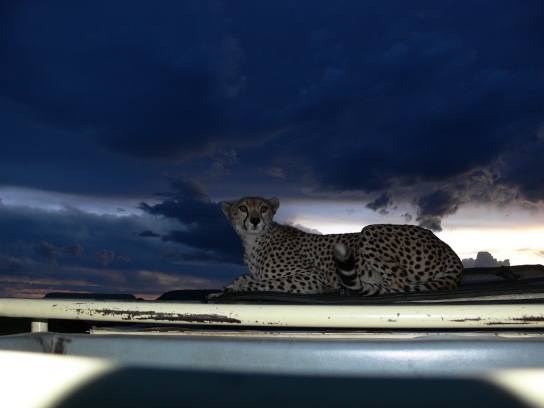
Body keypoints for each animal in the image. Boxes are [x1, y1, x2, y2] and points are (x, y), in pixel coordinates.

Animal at [209, 196, 463, 298]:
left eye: (263, 209)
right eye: (243, 208)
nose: (254, 220)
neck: (255, 241)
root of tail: (445, 246)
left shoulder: (311, 277)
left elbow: (262, 283)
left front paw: (235, 289)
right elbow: (245, 278)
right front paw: (225, 289)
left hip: (370, 231)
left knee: (398, 284)